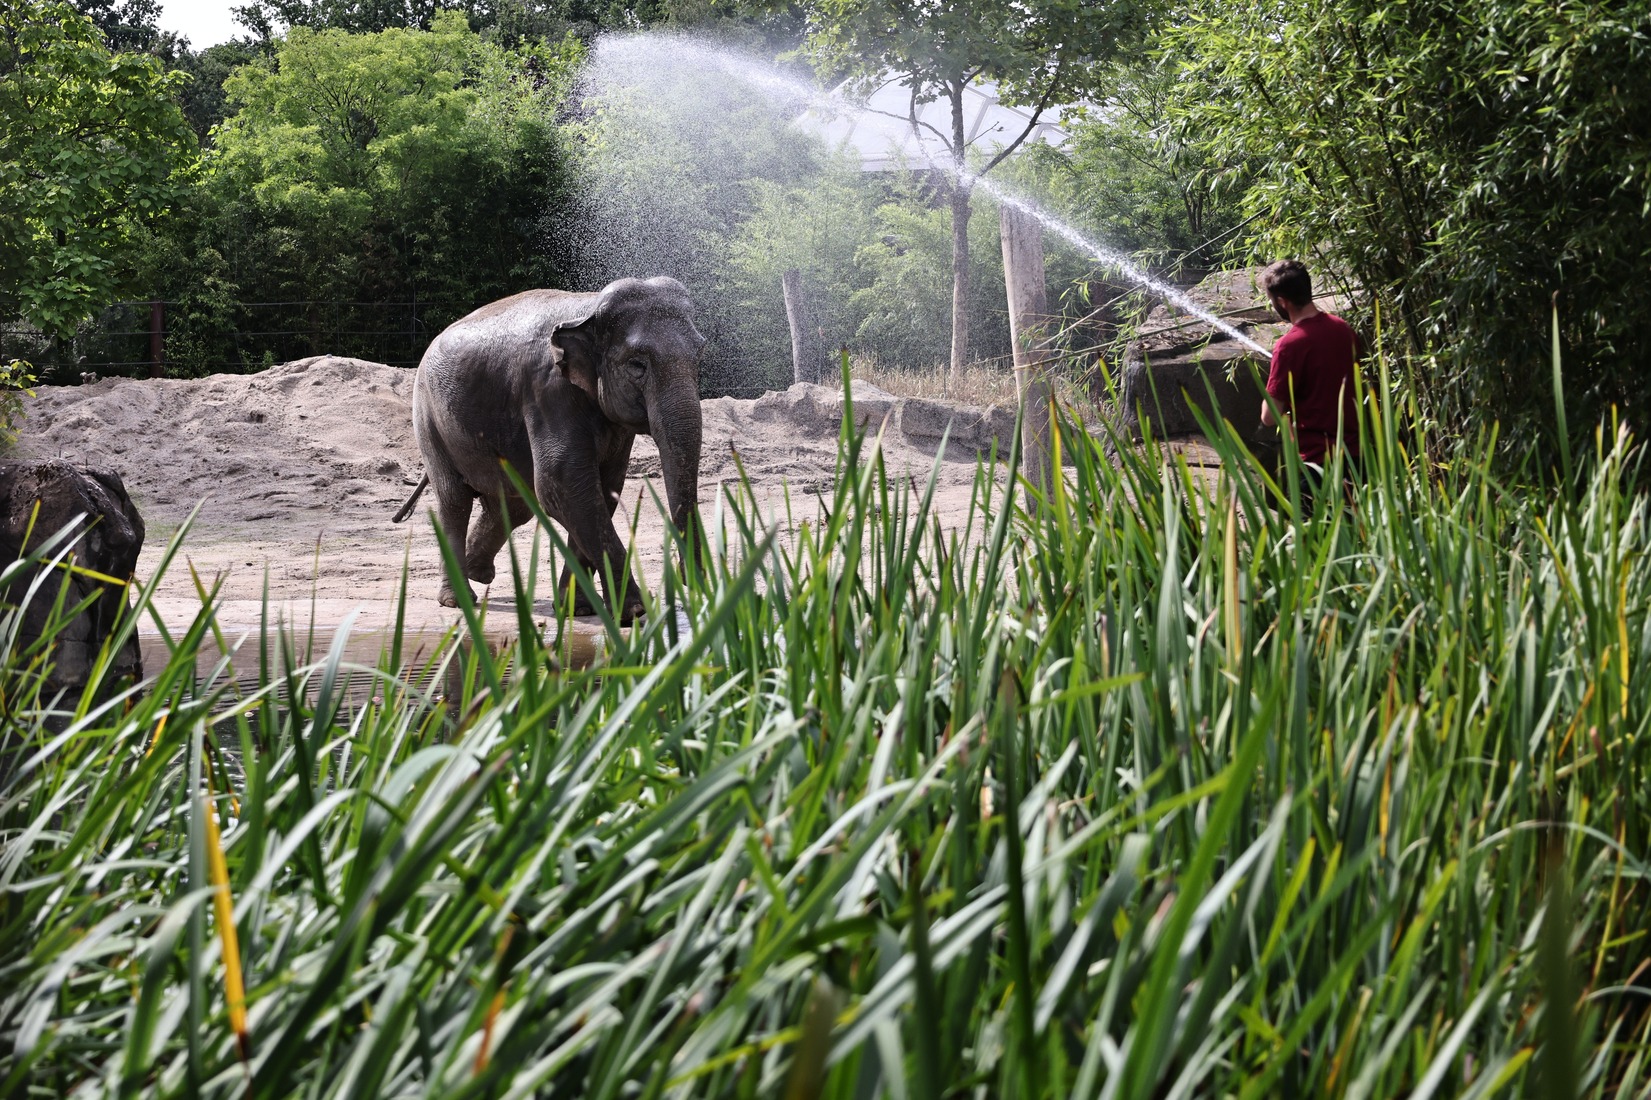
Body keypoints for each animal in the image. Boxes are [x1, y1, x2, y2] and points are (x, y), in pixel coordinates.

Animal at [392, 277, 705, 620]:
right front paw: (633, 611)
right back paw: (458, 599)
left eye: (699, 356)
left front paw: (576, 609)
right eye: (637, 364)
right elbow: (563, 485)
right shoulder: (547, 389)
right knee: (455, 500)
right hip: (429, 420)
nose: (691, 580)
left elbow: (602, 489)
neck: (588, 308)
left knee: (512, 505)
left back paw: (479, 572)